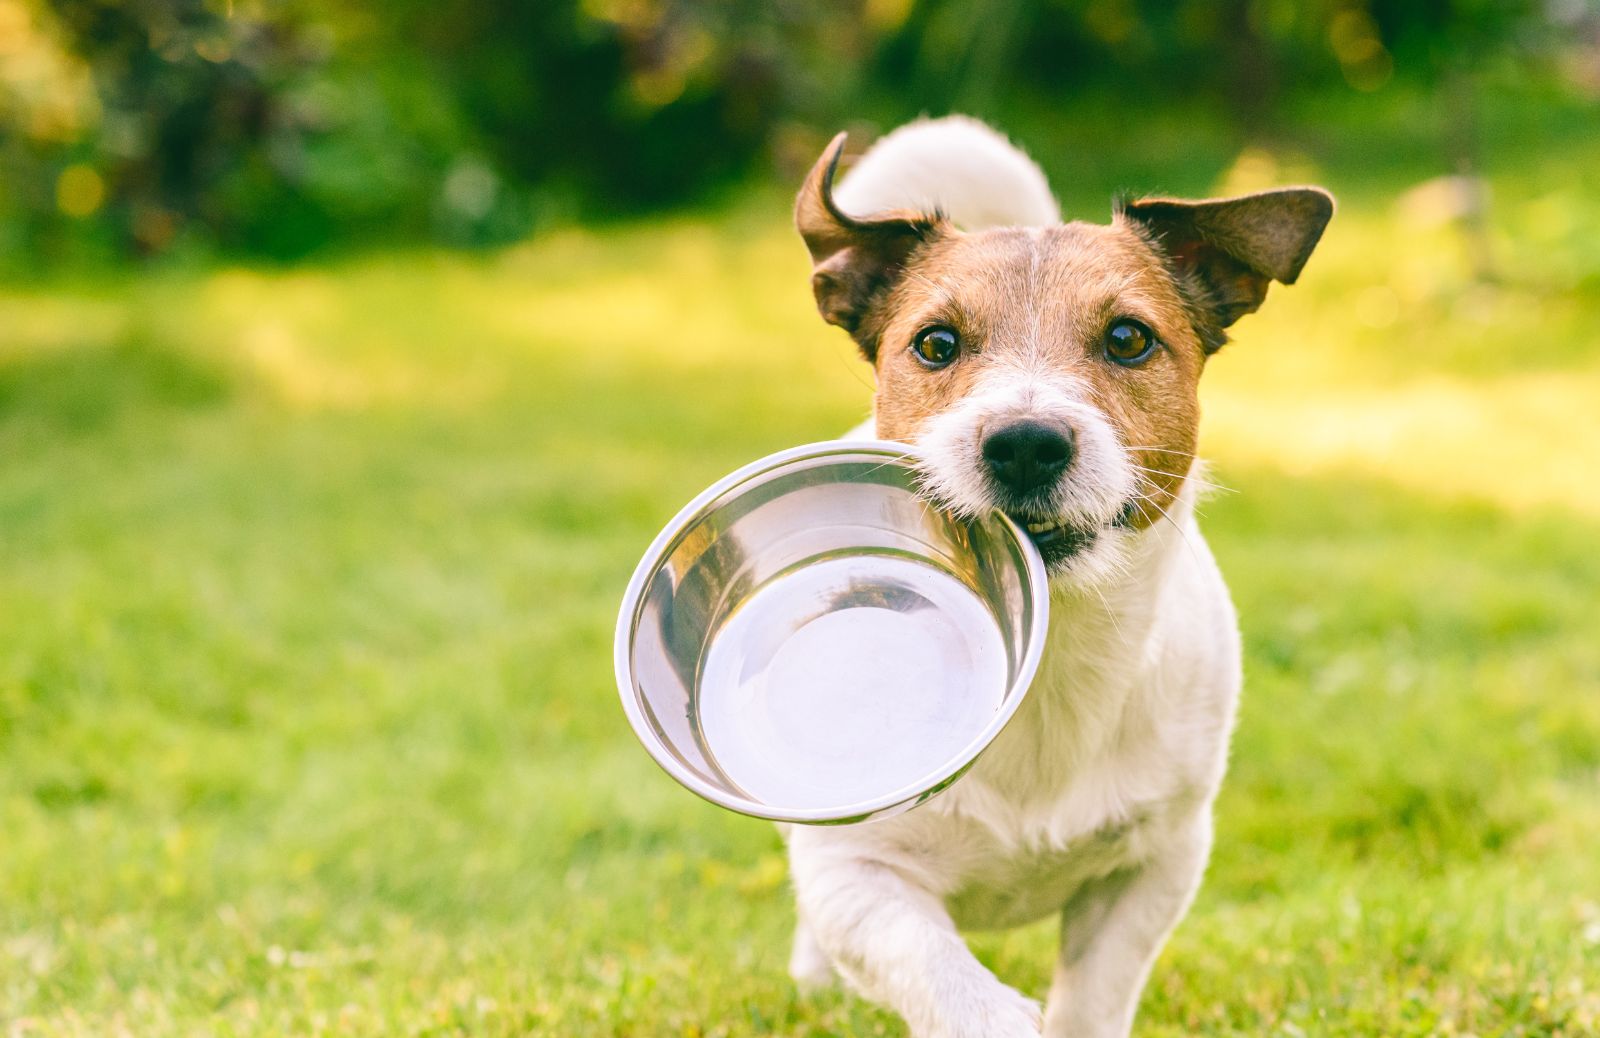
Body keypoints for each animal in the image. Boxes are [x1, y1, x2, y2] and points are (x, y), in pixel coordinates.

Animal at [780, 115, 1331, 1036]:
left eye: (1129, 338)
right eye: (935, 344)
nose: (1026, 444)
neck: (1051, 658)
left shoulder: (1155, 867)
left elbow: (1094, 996)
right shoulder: (855, 873)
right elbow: (943, 977)